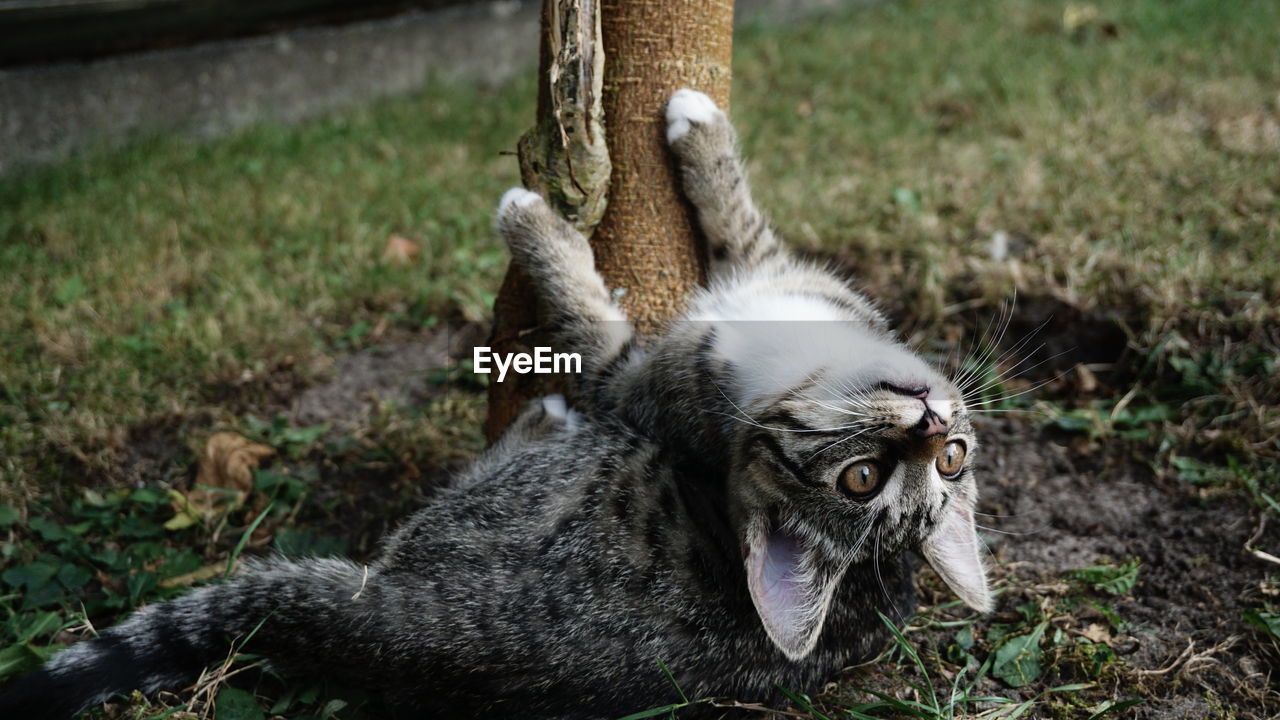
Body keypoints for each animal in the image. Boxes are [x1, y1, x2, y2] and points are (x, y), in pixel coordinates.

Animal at [0, 88, 988, 717]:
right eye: (876, 476)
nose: (934, 422)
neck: (793, 357)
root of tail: (393, 628)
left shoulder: (632, 381)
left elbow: (590, 321)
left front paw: (535, 223)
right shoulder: (767, 275)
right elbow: (736, 212)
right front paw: (702, 133)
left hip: (577, 467)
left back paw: (536, 418)